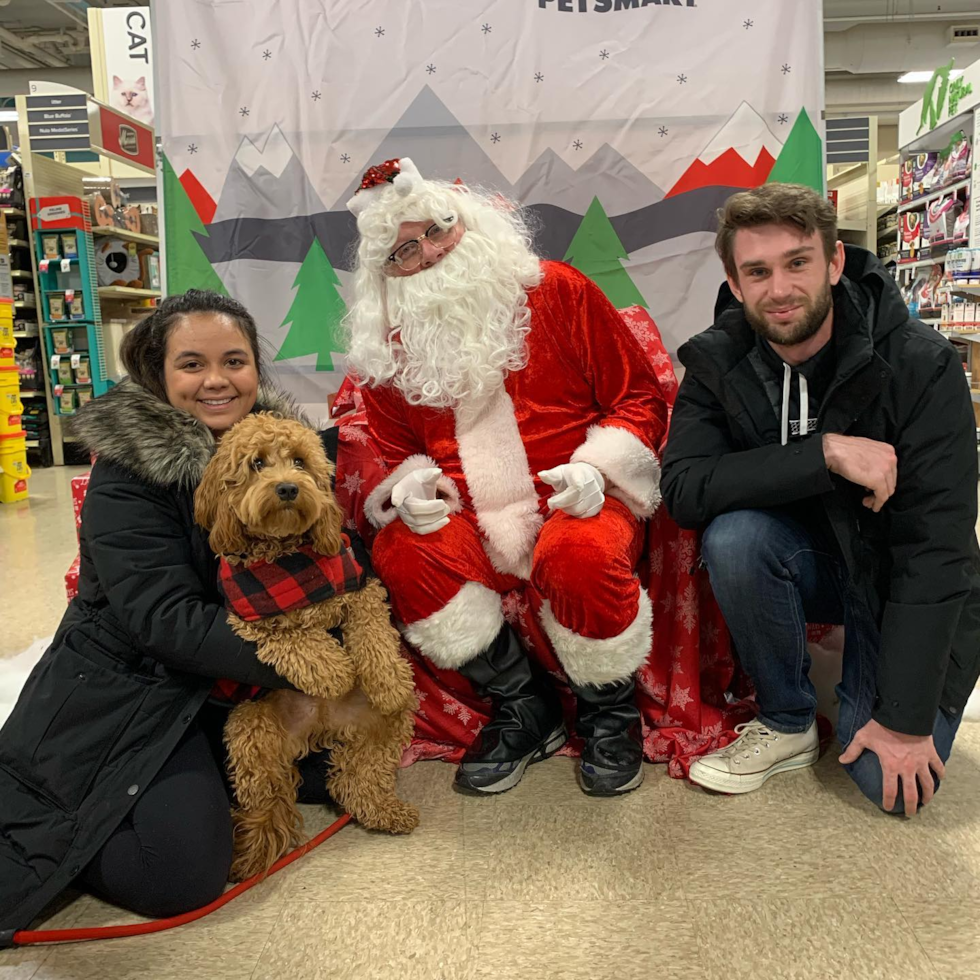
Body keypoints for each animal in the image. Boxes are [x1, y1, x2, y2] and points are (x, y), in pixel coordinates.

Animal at [194, 414, 418, 880]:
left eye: (299, 461)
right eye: (257, 463)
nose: (287, 488)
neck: (288, 561)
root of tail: (320, 727)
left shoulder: (360, 588)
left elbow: (373, 634)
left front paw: (385, 678)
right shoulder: (246, 617)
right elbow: (295, 639)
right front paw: (334, 672)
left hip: (389, 723)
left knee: (356, 780)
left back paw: (387, 811)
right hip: (249, 729)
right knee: (266, 799)